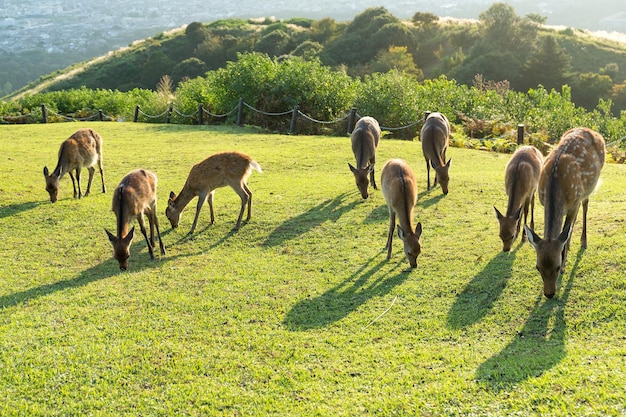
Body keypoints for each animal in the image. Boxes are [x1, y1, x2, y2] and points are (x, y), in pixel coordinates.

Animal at [520, 128, 604, 298]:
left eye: (557, 267)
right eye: (537, 267)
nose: (549, 293)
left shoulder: (574, 201)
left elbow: (568, 225)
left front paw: (566, 263)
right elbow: (565, 229)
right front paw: (566, 247)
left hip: (586, 190)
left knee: (585, 206)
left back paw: (583, 242)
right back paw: (570, 243)